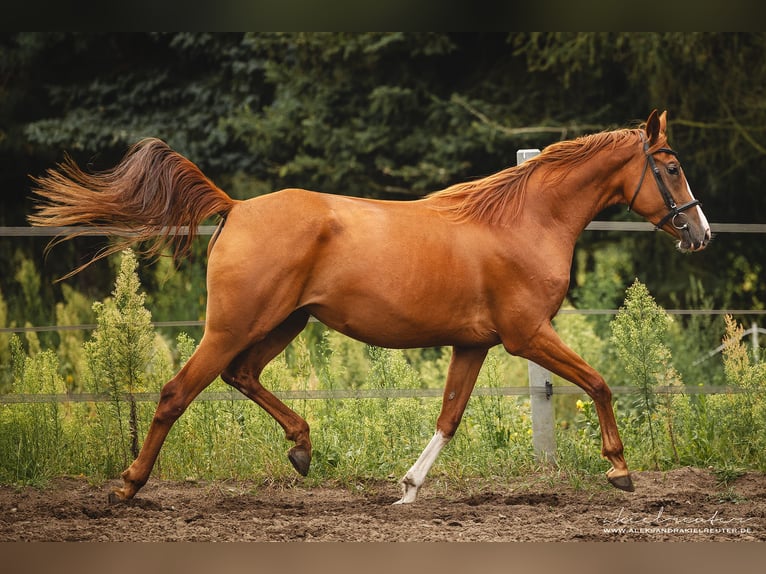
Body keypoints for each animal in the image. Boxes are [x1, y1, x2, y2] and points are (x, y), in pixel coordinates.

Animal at [30, 109, 712, 504]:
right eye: (673, 167)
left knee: (241, 376)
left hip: (284, 322)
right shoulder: (526, 334)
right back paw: (127, 486)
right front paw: (620, 471)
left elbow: (450, 415)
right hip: (232, 324)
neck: (522, 222)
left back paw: (302, 449)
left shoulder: (474, 343)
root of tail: (236, 207)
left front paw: (407, 488)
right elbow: (598, 383)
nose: (701, 234)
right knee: (177, 392)